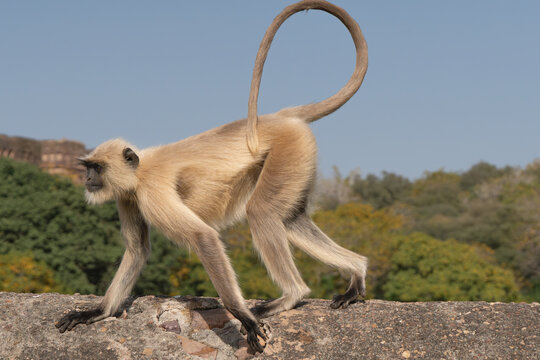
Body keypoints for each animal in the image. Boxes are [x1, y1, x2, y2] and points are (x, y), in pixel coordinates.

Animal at [56, 0, 368, 352]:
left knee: (261, 212)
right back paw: (356, 273)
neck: (141, 169)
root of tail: (280, 117)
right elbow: (137, 250)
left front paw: (243, 317)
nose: (88, 180)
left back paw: (292, 296)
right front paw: (96, 312)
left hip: (289, 150)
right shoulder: (129, 197)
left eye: (96, 168)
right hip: (296, 160)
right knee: (290, 218)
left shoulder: (150, 191)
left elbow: (202, 237)